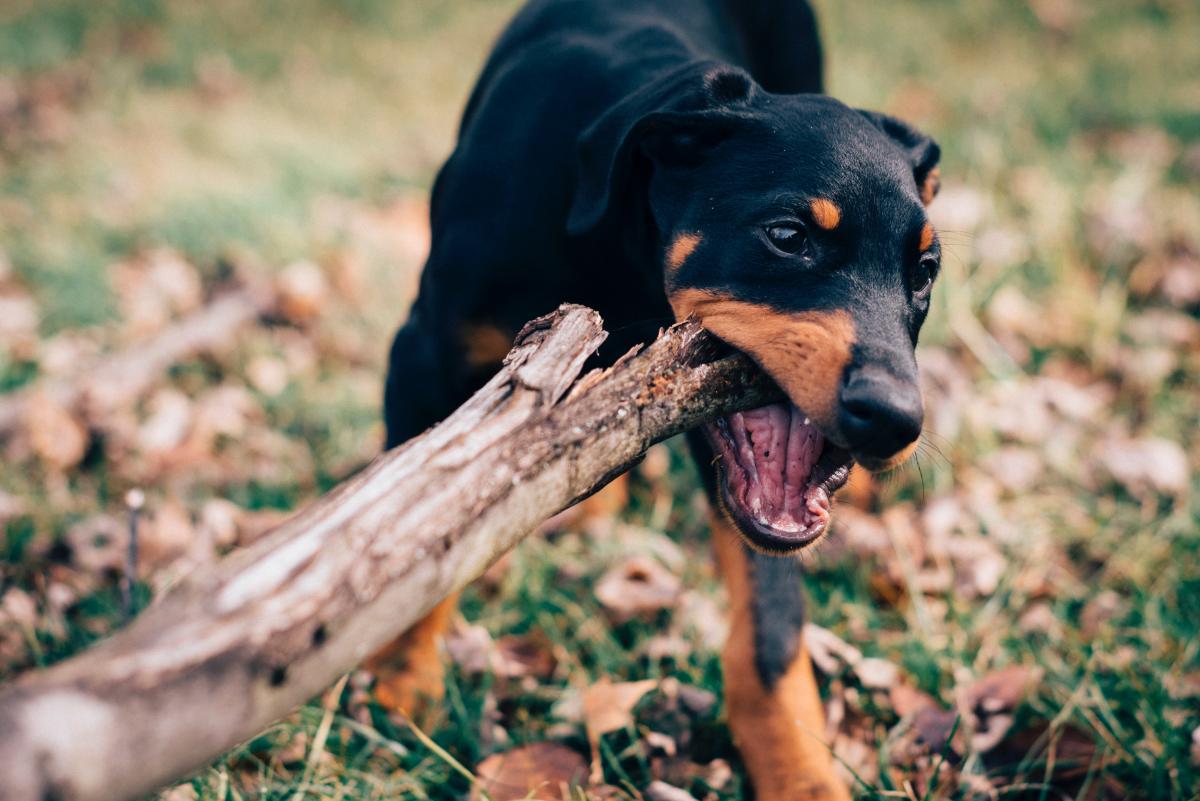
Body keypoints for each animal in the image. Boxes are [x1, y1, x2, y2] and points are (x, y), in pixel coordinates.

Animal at [369, 1, 940, 796]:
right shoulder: (420, 356)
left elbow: (770, 629)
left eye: (926, 271)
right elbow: (418, 539)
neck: (616, 247)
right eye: (786, 235)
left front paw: (802, 774)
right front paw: (401, 682)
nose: (894, 419)